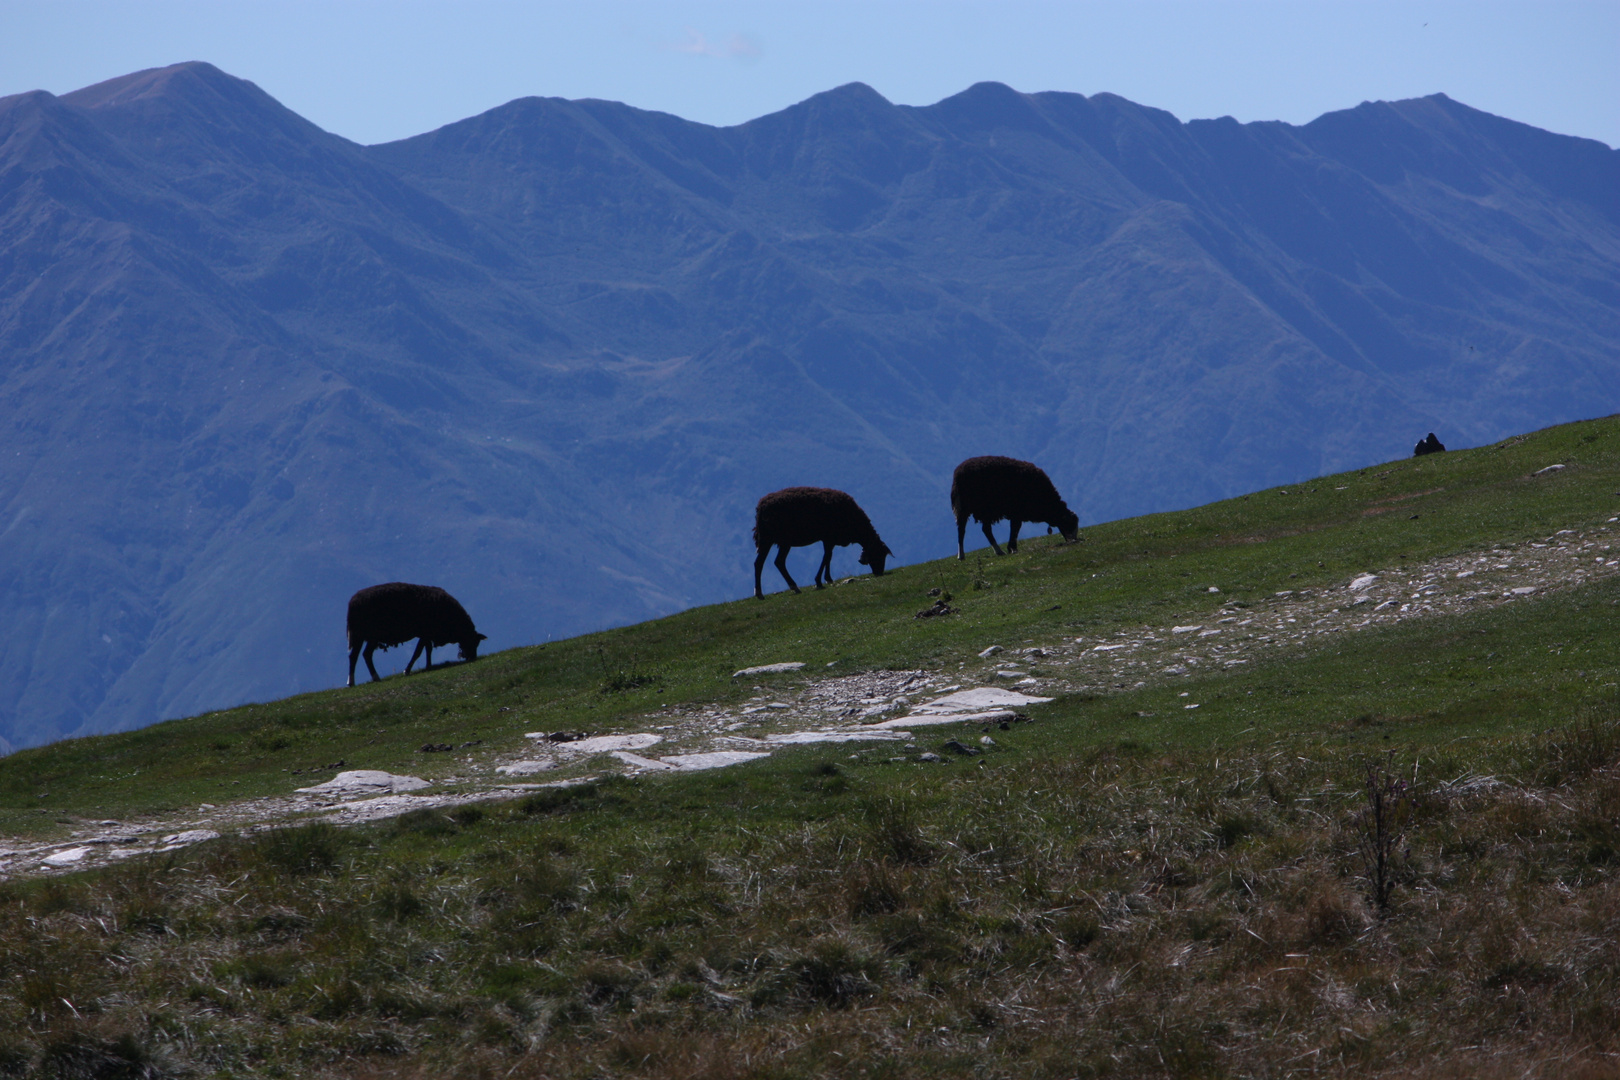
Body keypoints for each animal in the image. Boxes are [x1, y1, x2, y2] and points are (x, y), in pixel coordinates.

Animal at [345, 579, 482, 689]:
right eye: (473, 642)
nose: (473, 657)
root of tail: (353, 602)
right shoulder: (425, 633)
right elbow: (418, 652)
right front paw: (407, 670)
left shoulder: (426, 635)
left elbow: (427, 649)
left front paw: (428, 666)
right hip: (371, 635)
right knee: (365, 654)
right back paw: (373, 678)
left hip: (360, 636)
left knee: (355, 656)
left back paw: (352, 682)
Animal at [751, 488, 894, 599]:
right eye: (880, 554)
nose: (879, 572)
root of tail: (760, 507)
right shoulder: (828, 538)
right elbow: (827, 557)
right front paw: (819, 581)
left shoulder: (829, 540)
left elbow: (828, 557)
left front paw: (828, 578)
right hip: (776, 539)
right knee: (772, 562)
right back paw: (771, 591)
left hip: (773, 540)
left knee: (768, 562)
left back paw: (770, 591)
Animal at [946, 453, 1075, 563]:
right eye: (1068, 524)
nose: (1073, 541)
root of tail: (957, 474)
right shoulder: (1017, 511)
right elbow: (1015, 527)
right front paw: (1013, 548)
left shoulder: (1016, 513)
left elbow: (1015, 527)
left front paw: (1011, 548)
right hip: (978, 507)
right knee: (972, 529)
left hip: (970, 508)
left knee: (972, 529)